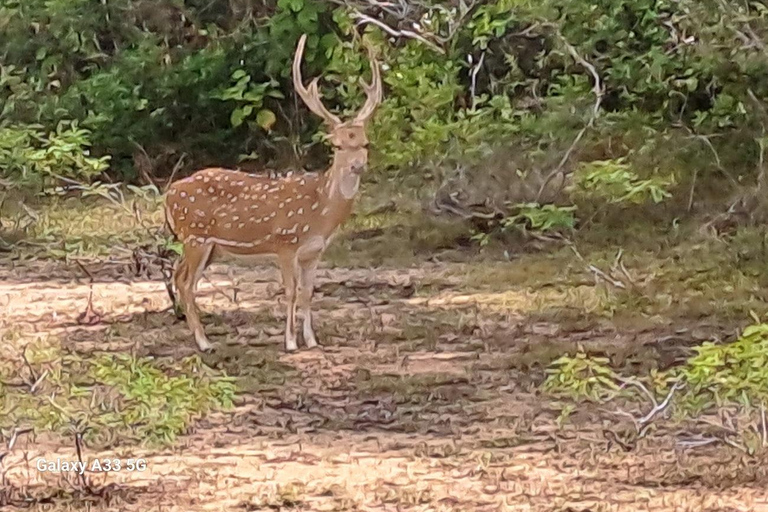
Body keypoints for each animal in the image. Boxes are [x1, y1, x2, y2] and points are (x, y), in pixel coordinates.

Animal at [168, 33, 384, 352]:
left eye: (365, 143)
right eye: (337, 145)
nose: (358, 165)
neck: (320, 210)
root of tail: (168, 194)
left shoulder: (314, 251)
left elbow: (308, 292)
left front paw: (312, 340)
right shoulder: (285, 242)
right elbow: (291, 291)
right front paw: (291, 343)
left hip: (208, 246)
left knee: (180, 275)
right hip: (195, 236)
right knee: (185, 281)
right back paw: (204, 343)